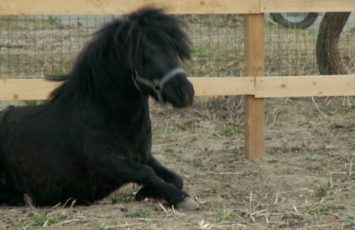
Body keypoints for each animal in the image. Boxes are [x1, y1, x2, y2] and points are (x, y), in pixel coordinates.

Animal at [0, 7, 200, 209]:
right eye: (145, 56)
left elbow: (175, 177)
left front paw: (145, 193)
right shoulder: (104, 162)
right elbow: (145, 172)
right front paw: (180, 198)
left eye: (174, 51)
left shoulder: (143, 155)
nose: (186, 93)